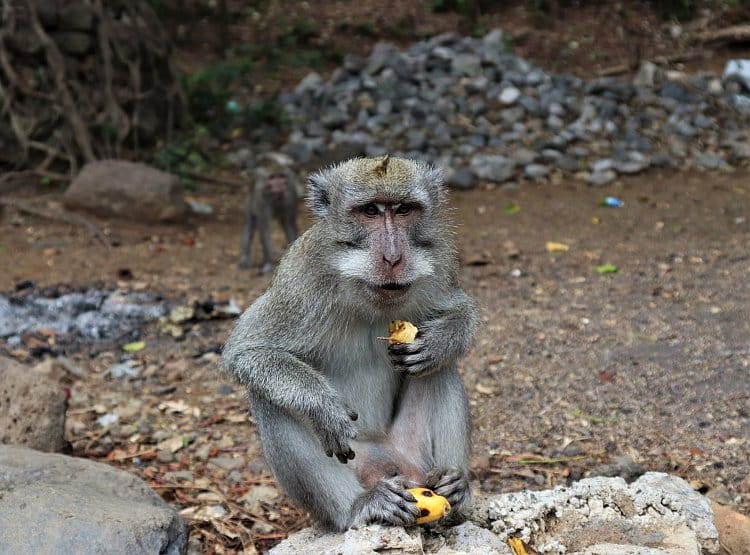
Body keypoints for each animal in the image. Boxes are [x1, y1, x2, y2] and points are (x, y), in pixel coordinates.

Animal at [223, 155, 482, 528]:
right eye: (370, 211)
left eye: (403, 209)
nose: (393, 258)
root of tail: (385, 461)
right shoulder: (300, 280)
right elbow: (246, 350)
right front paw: (322, 407)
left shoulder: (441, 261)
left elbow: (458, 309)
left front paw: (441, 341)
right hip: (356, 468)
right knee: (268, 399)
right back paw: (360, 506)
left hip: (411, 454)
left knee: (438, 369)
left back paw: (454, 489)